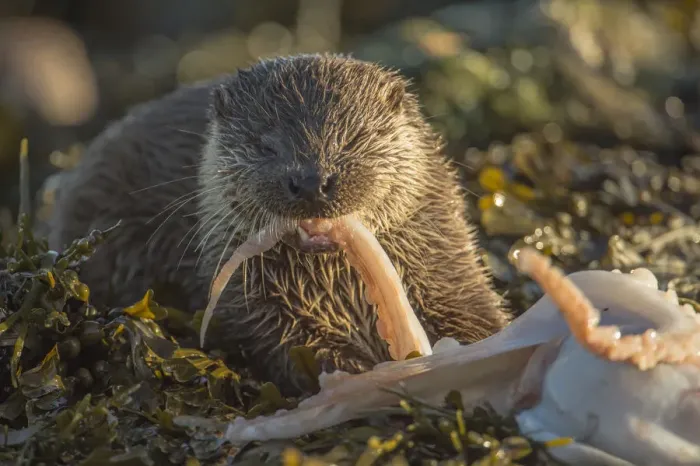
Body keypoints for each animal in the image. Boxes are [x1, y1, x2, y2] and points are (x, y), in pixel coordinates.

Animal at [48, 54, 510, 394]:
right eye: (266, 145)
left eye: (353, 139)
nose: (310, 180)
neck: (338, 290)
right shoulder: (248, 305)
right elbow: (288, 344)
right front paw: (357, 371)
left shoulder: (447, 268)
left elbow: (479, 317)